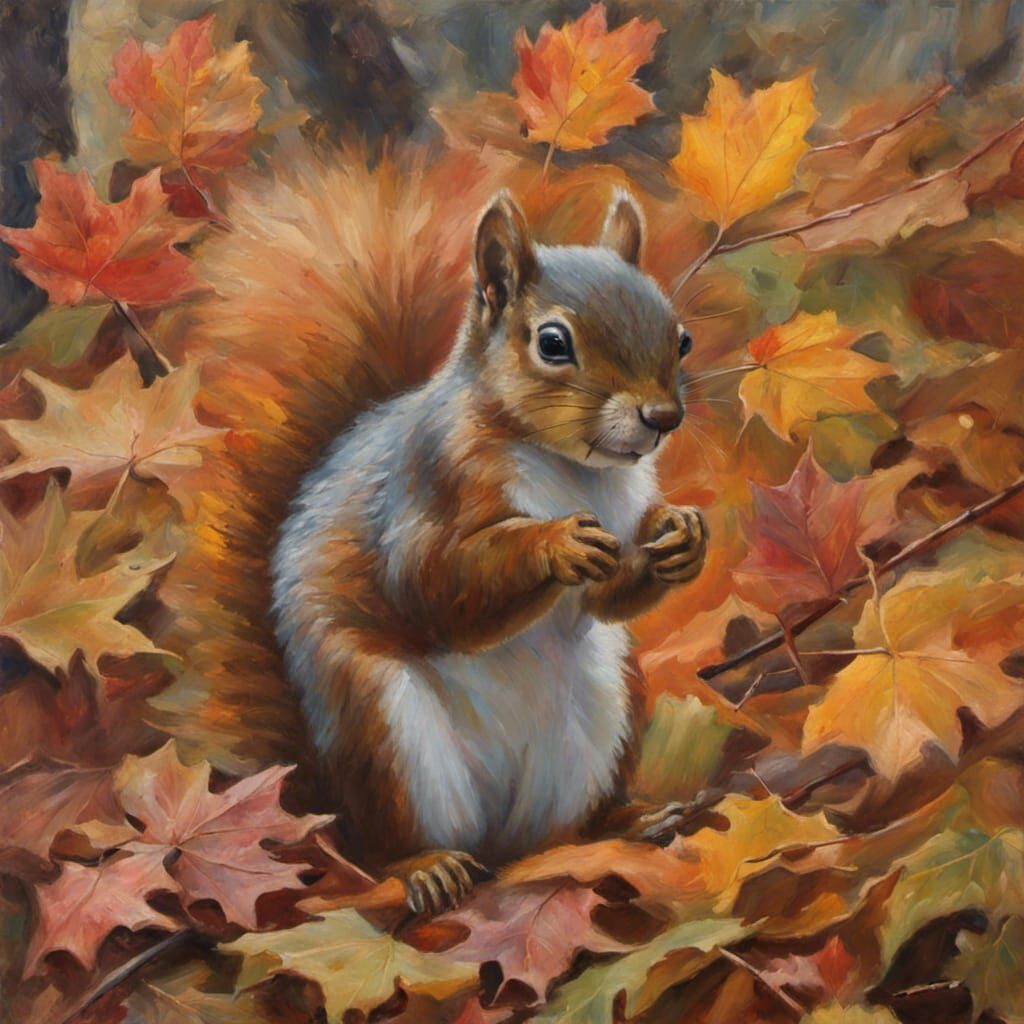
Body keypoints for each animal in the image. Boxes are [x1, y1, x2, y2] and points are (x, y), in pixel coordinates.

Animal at [162, 142, 707, 916]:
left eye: (681, 337)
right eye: (552, 343)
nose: (663, 418)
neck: (570, 469)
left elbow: (610, 598)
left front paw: (682, 535)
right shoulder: (425, 489)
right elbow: (432, 586)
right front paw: (553, 544)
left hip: (610, 706)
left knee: (563, 832)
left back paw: (627, 822)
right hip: (382, 729)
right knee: (392, 841)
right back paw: (424, 869)